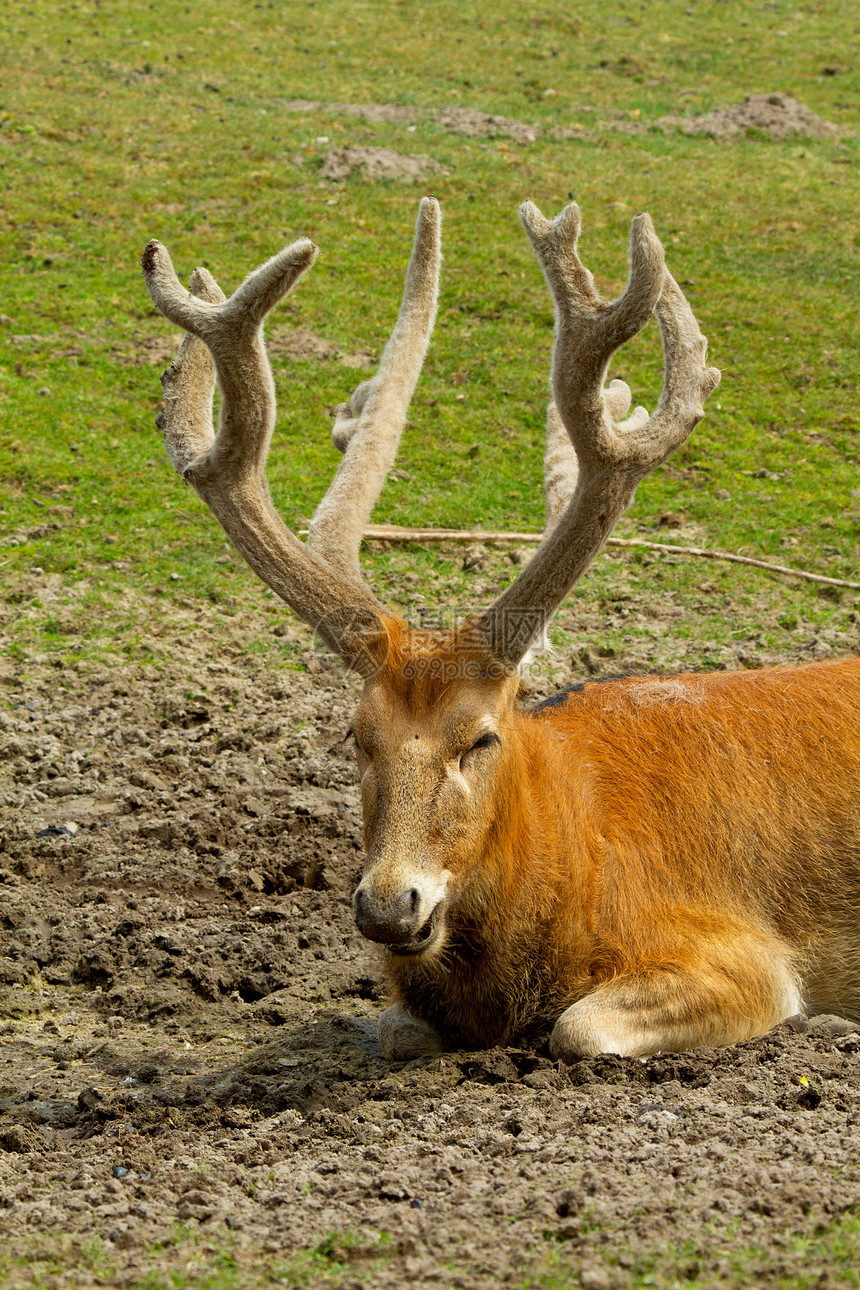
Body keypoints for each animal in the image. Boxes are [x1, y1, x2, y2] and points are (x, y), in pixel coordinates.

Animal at [143, 193, 860, 1057]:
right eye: (356, 736)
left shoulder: (748, 955)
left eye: (480, 737)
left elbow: (577, 1027)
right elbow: (396, 1028)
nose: (390, 905)